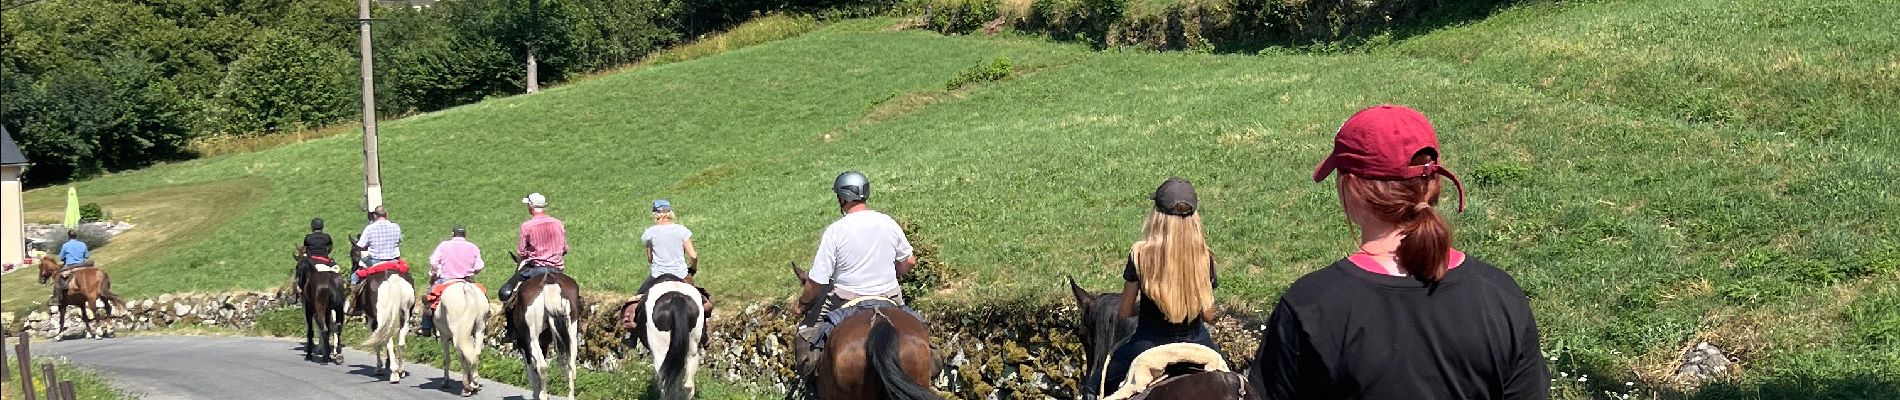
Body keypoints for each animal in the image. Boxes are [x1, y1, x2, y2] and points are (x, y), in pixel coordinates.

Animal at [355, 236, 421, 382]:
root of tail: (393, 279)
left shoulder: (372, 320)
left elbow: (377, 342)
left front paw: (379, 367)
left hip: (382, 317)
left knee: (388, 341)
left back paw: (394, 373)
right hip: (406, 316)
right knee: (401, 341)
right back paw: (401, 370)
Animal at [505, 254, 577, 400]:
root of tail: (549, 281)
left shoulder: (523, 344)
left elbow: (531, 368)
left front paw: (536, 393)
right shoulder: (544, 342)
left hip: (532, 338)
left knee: (542, 366)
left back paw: (543, 395)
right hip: (572, 331)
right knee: (571, 365)